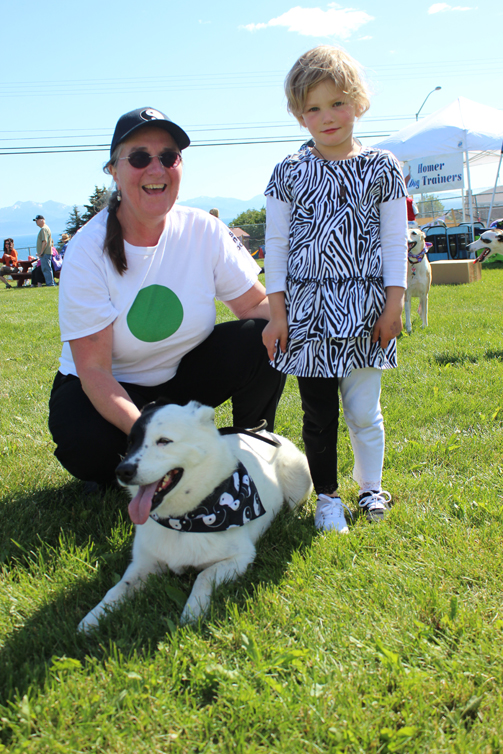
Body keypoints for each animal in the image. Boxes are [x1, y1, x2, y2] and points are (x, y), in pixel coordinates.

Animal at [79, 400, 314, 628]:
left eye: (164, 441)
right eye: (130, 443)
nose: (122, 471)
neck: (184, 520)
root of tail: (268, 434)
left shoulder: (241, 557)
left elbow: (203, 575)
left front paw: (193, 612)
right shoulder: (143, 563)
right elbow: (118, 588)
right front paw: (93, 617)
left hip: (295, 481)